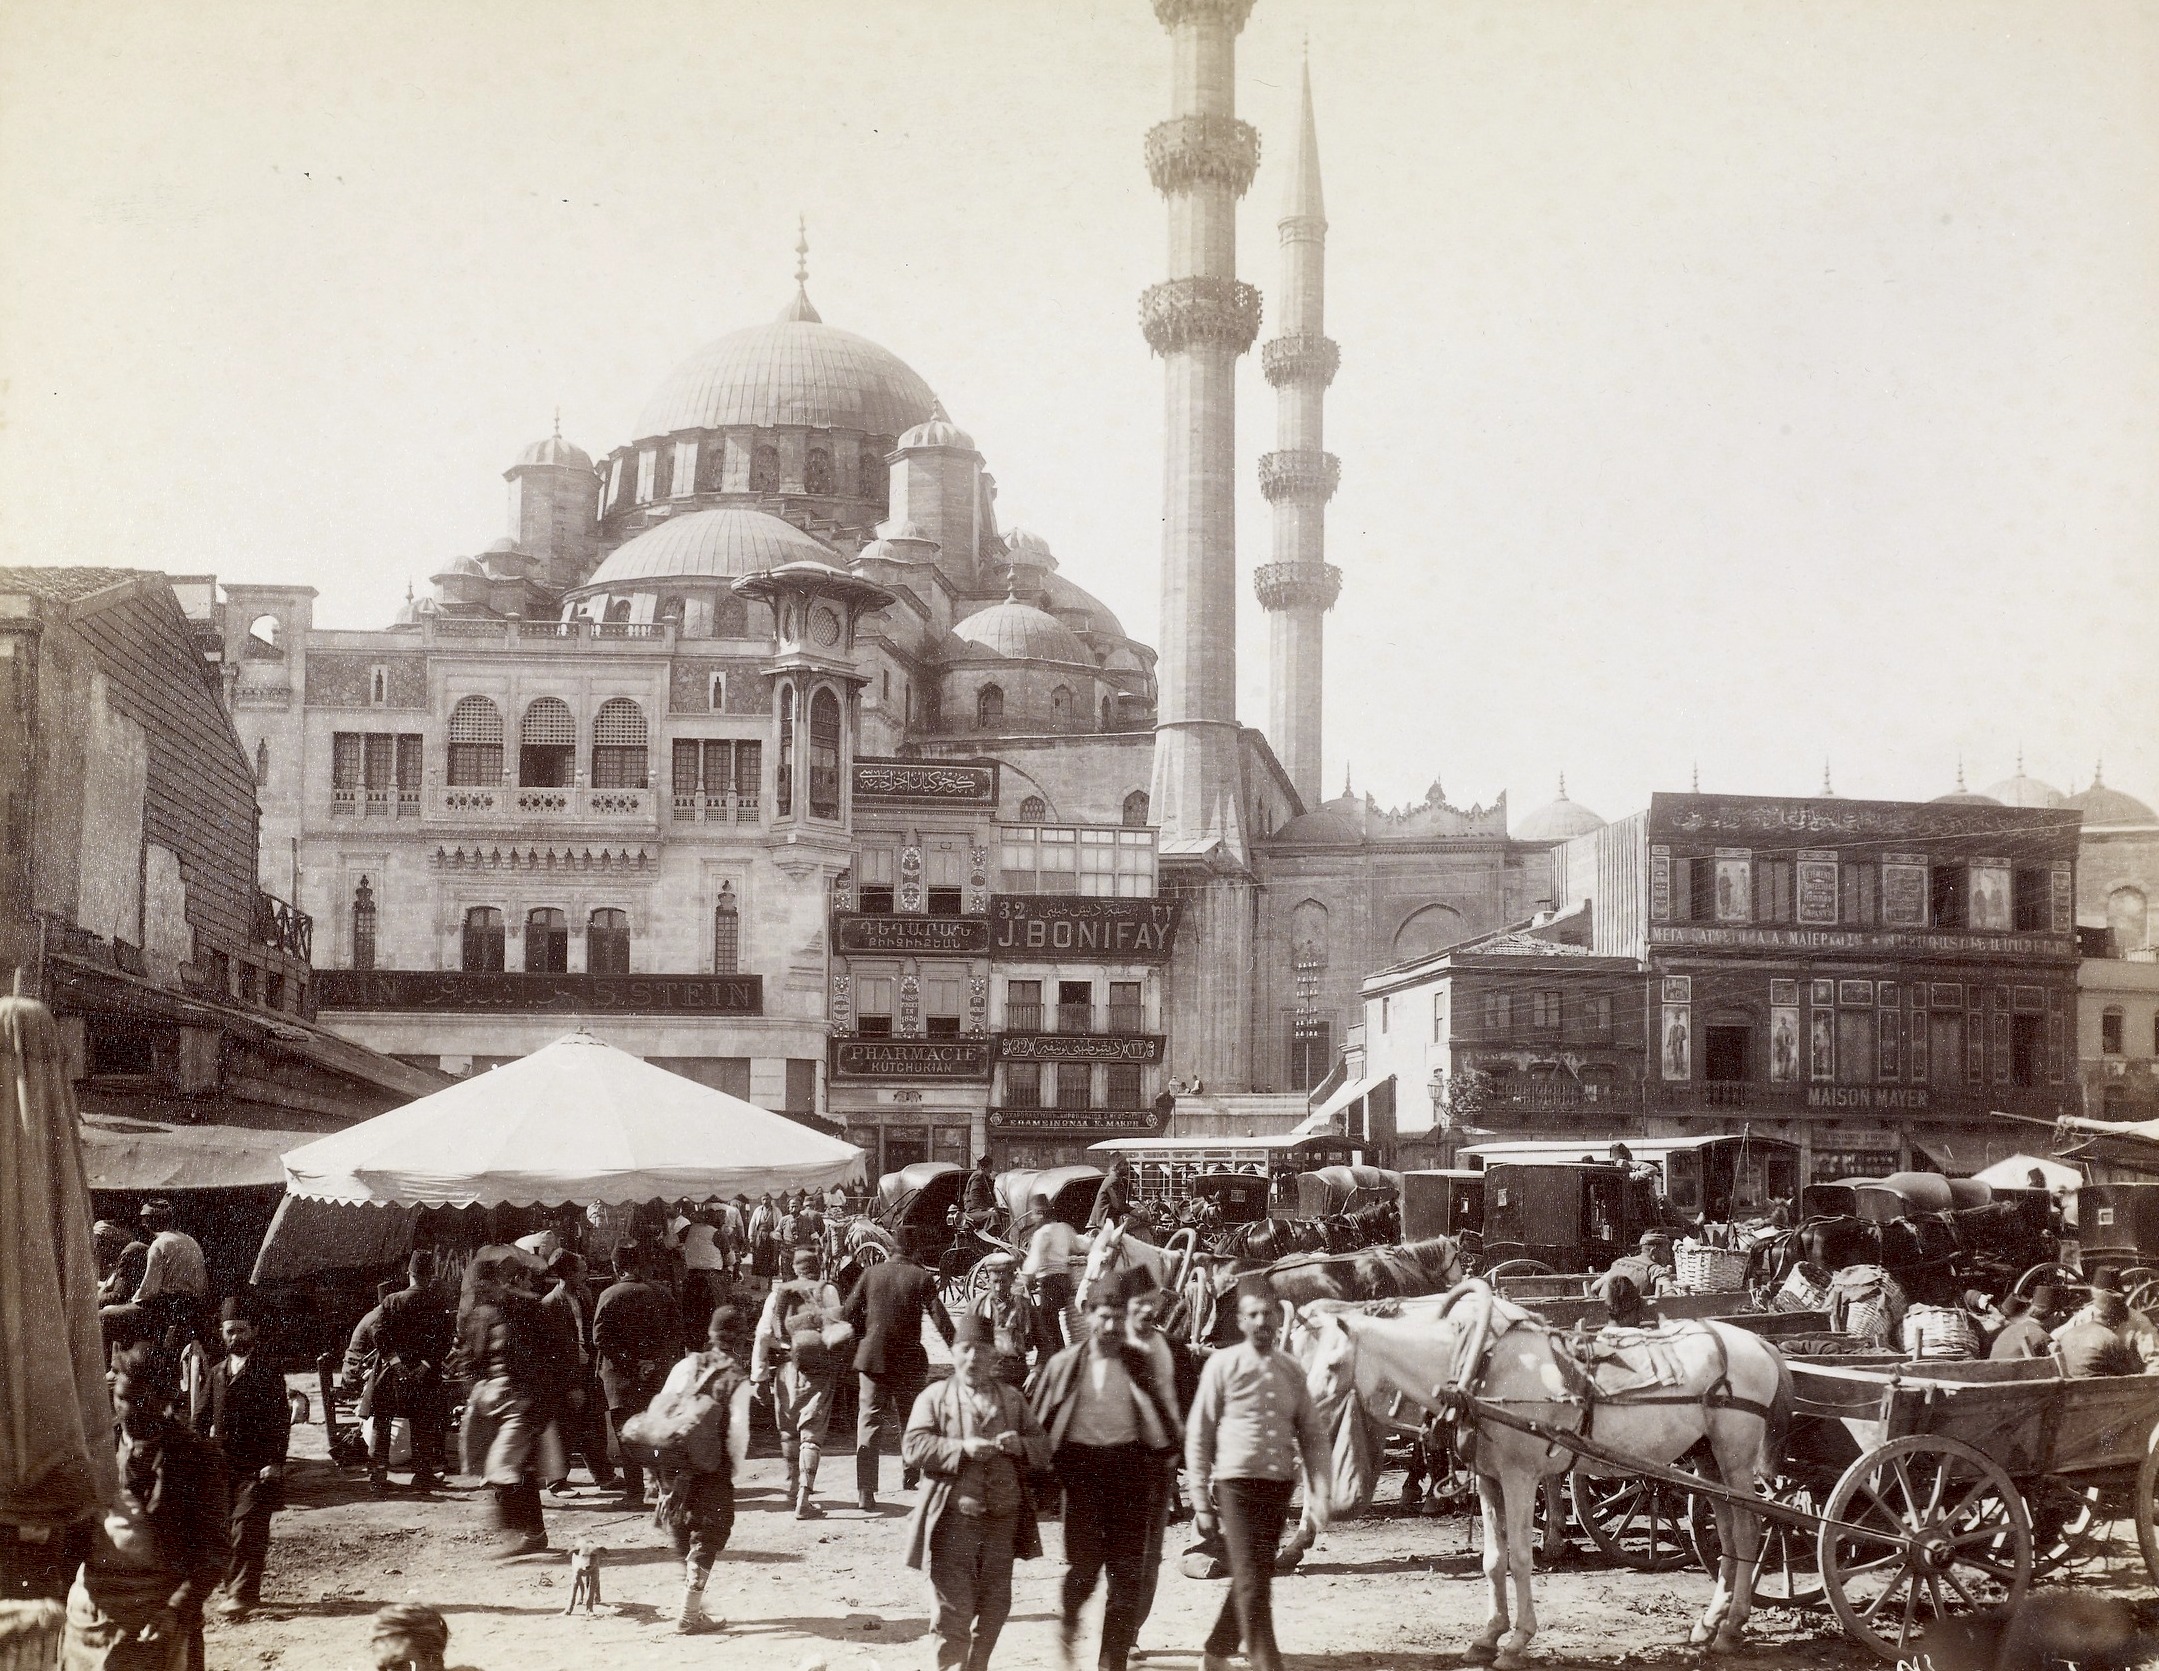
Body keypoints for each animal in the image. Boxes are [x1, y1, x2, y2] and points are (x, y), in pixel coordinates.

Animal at [1295, 1286, 1787, 1666]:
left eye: (1333, 1365)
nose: (1303, 1417)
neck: (1481, 1369)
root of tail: (1759, 1343)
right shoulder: (1490, 1479)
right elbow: (1493, 1560)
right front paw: (1486, 1637)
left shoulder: (1519, 1478)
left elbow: (1519, 1559)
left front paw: (1517, 1642)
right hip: (1708, 1462)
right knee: (1726, 1532)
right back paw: (1709, 1624)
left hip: (1735, 1459)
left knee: (1749, 1531)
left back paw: (1732, 1628)